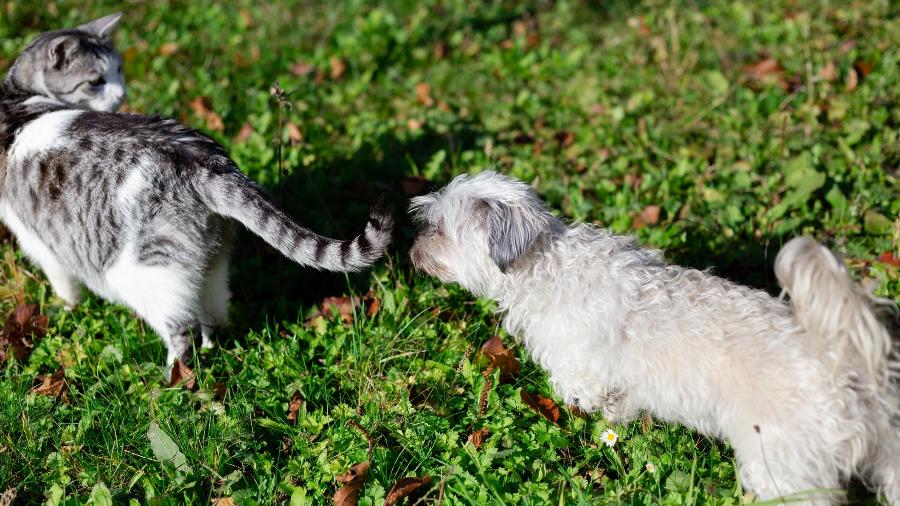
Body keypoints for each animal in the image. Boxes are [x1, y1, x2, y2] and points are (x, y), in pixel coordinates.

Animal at [0, 15, 394, 370]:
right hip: (210, 259)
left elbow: (63, 282)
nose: (122, 94)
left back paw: (173, 379)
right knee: (215, 312)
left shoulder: (38, 240)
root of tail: (200, 162)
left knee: (182, 327)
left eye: (118, 71)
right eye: (97, 80)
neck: (18, 101)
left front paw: (66, 308)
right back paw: (211, 350)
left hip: (140, 271)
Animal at [410, 172, 900, 504]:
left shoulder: (585, 379)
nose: (411, 250)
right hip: (886, 453)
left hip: (784, 465)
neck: (542, 265)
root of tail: (842, 360)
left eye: (439, 230)